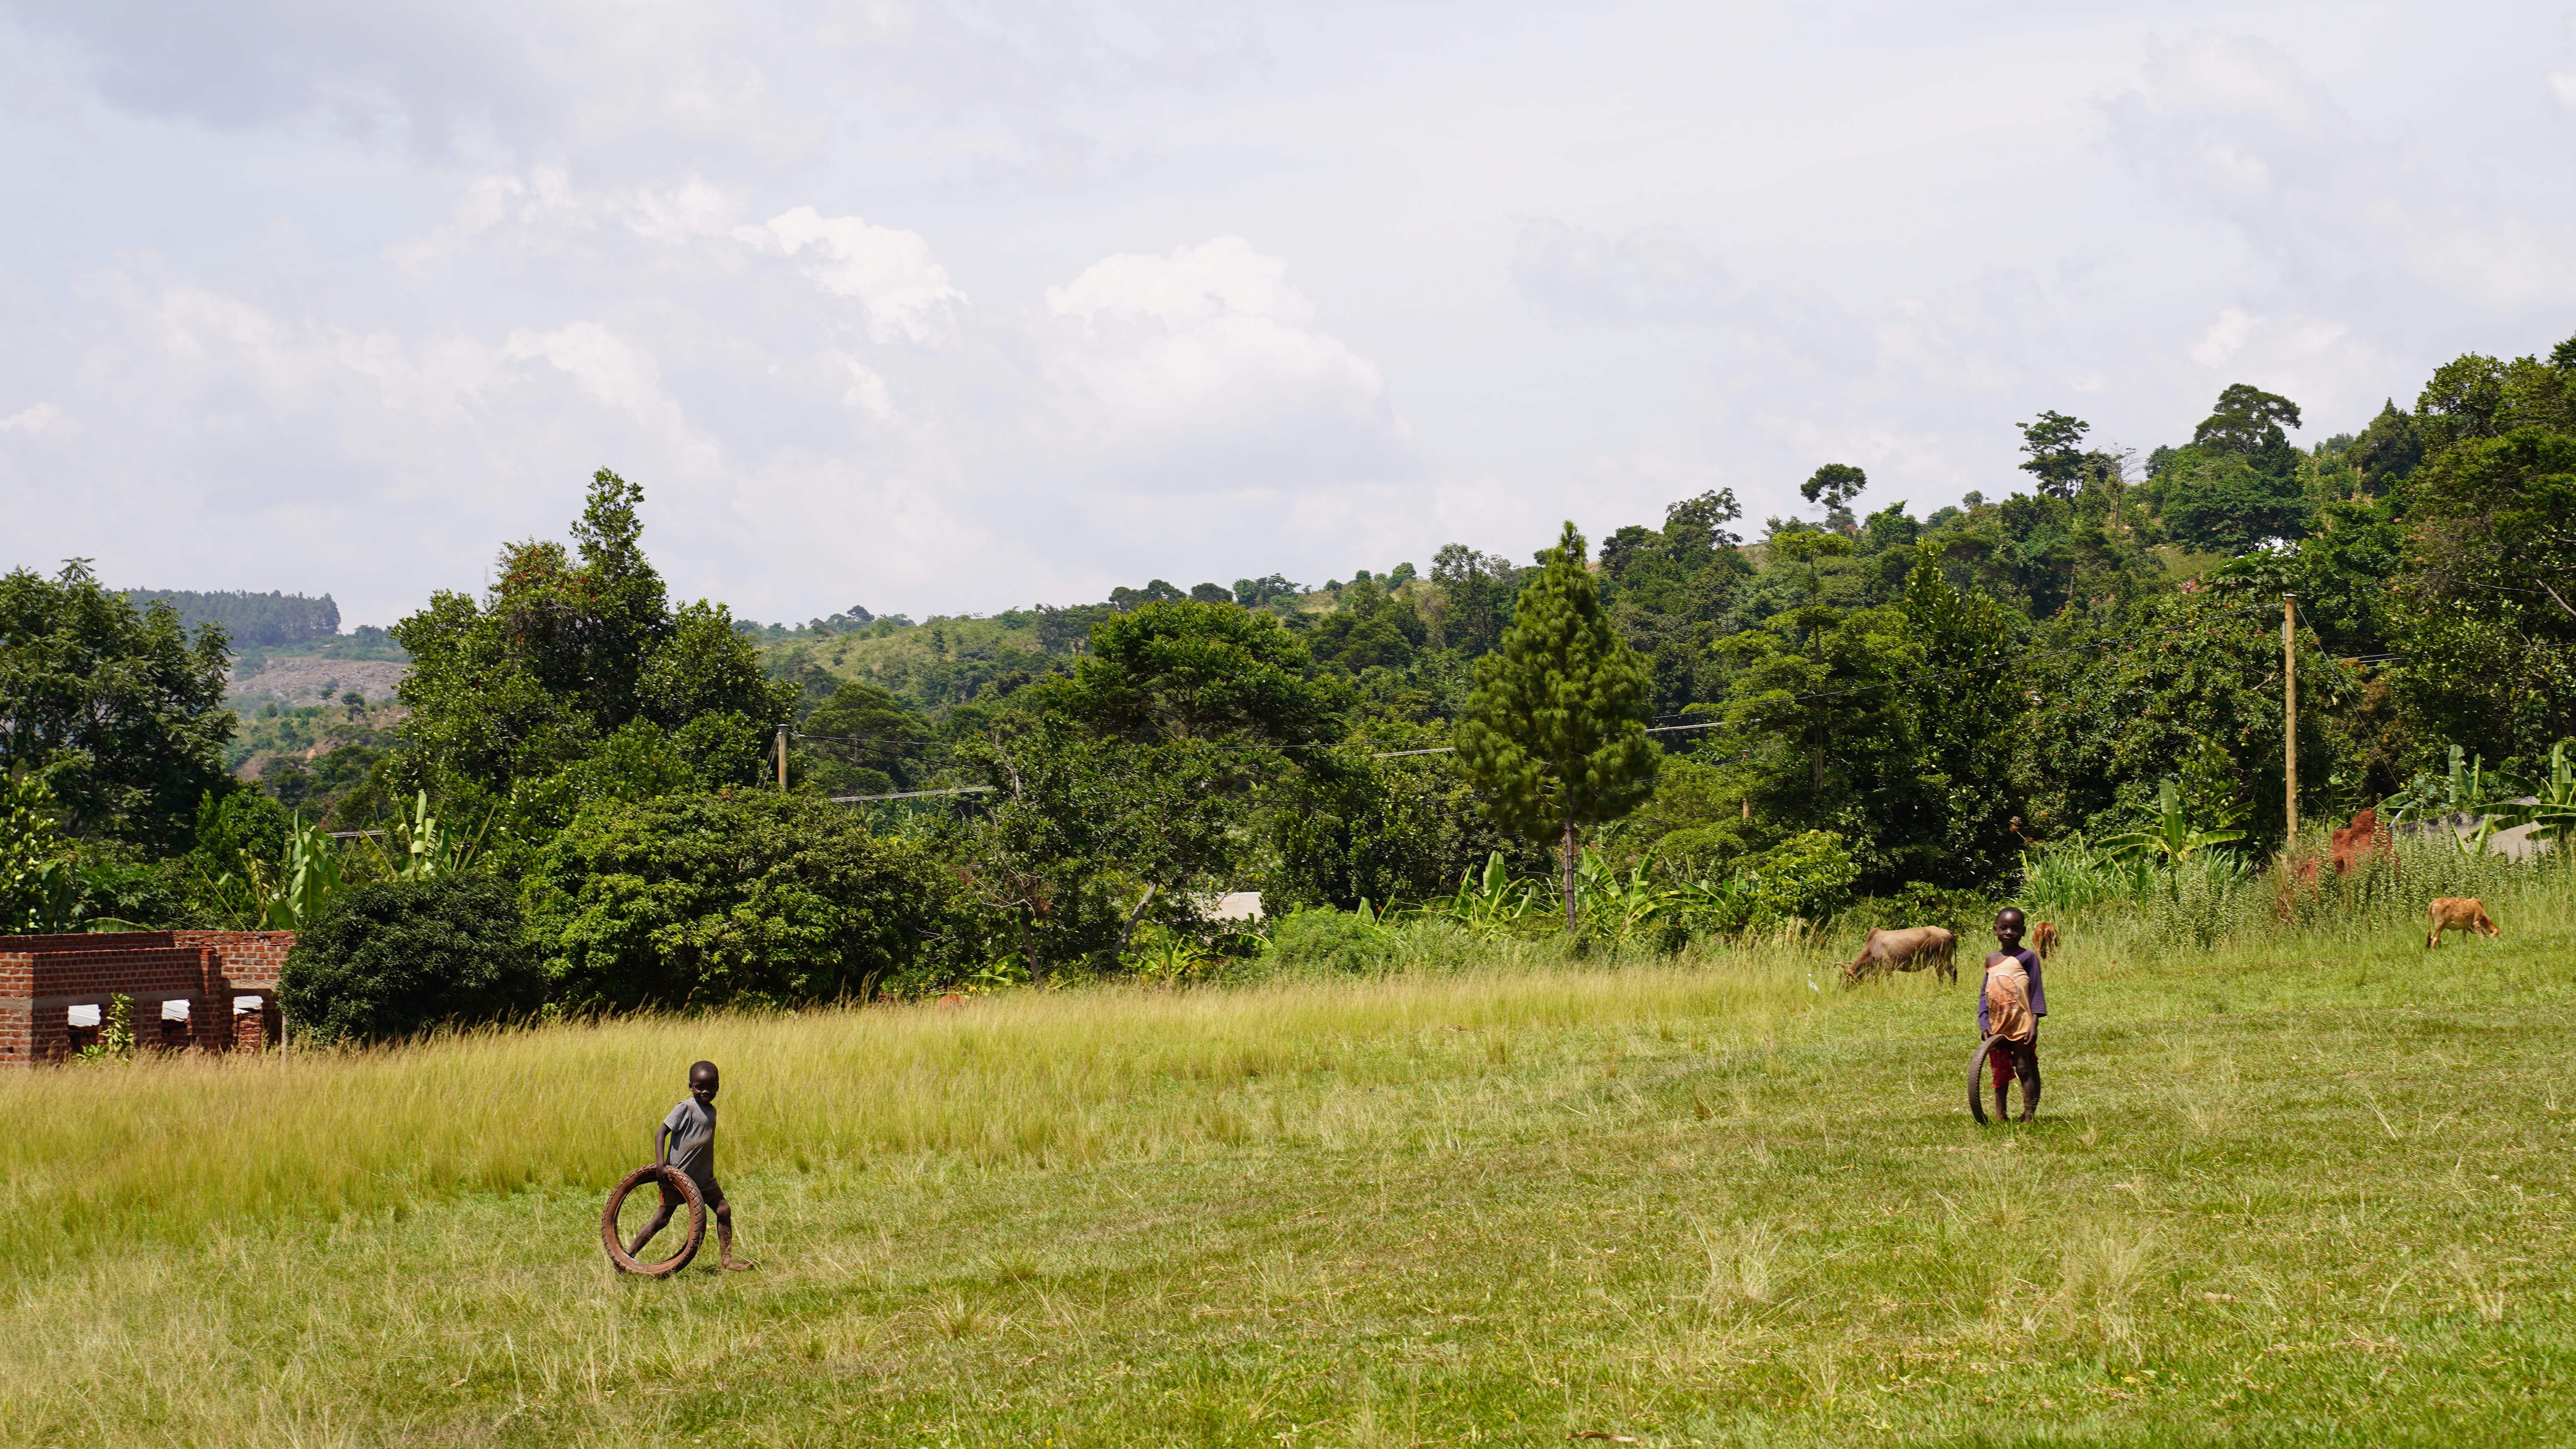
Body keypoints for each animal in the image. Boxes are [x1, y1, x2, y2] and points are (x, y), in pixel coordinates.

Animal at [1844, 923, 1958, 980]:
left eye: (1847, 977)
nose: (1843, 989)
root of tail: (1948, 932)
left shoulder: (1888, 965)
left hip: (1940, 960)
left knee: (1942, 975)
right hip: (1946, 959)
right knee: (1953, 971)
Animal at [2421, 892, 2504, 948]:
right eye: (2498, 937)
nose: (2500, 943)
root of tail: (2434, 902)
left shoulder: (2464, 927)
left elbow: (2464, 939)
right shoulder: (2477, 925)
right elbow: (2482, 938)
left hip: (2438, 927)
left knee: (2436, 938)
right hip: (2440, 925)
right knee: (2434, 939)